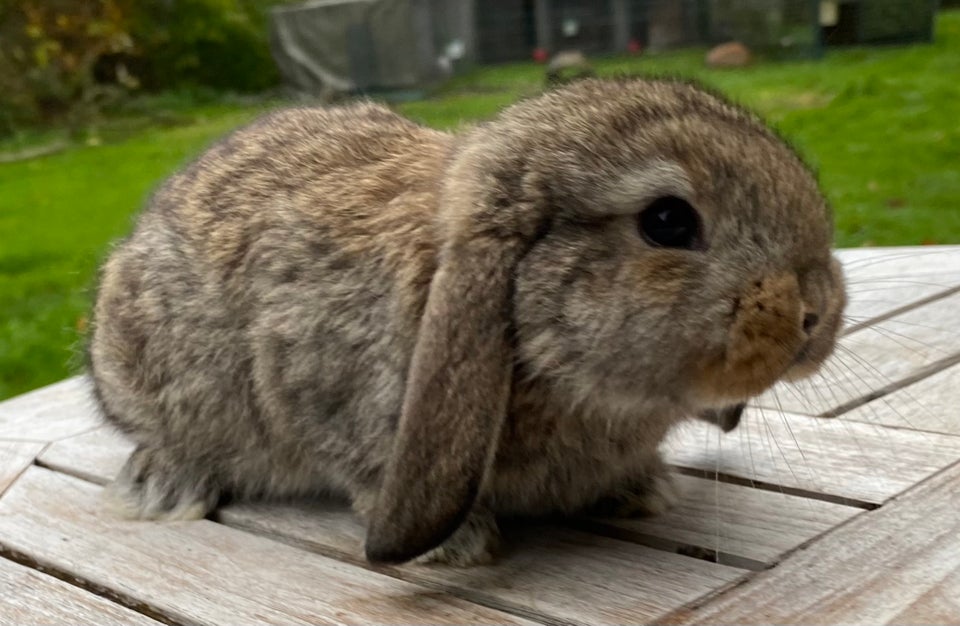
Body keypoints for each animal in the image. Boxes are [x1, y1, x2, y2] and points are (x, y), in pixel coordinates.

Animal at [86, 78, 844, 564]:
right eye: (667, 221)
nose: (817, 314)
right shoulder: (322, 393)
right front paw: (459, 546)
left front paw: (642, 491)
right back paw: (165, 485)